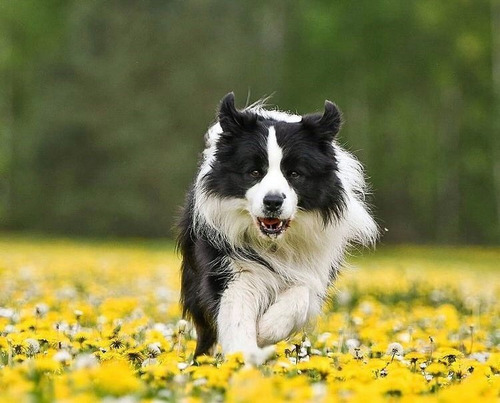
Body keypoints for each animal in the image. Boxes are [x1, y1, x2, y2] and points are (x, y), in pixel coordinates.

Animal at [178, 93, 376, 364]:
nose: (272, 201)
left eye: (294, 173)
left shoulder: (313, 263)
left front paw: (265, 331)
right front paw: (245, 353)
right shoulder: (230, 260)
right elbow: (236, 306)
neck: (274, 242)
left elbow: (301, 293)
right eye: (254, 172)